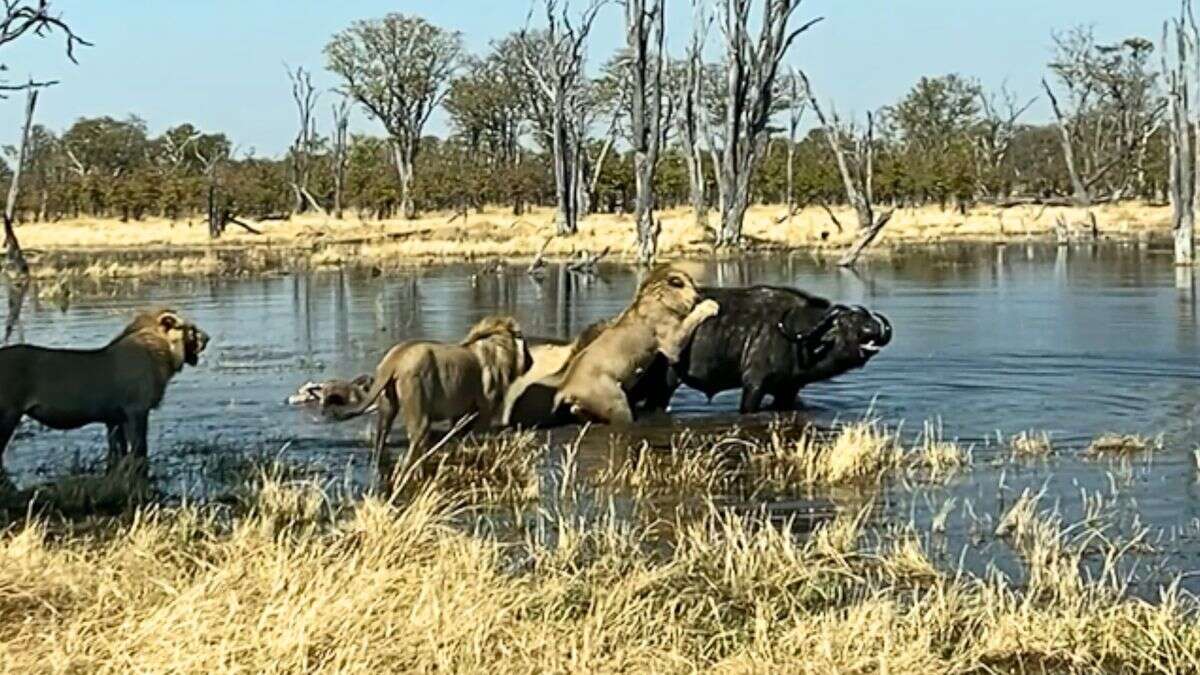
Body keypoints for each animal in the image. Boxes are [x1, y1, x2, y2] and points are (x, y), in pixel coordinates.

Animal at [0, 307, 211, 475]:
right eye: (191, 329)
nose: (208, 338)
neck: (160, 353)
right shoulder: (136, 411)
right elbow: (140, 449)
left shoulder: (114, 419)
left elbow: (117, 453)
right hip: (8, 414)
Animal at [328, 317, 535, 468]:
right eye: (524, 343)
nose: (532, 362)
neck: (497, 347)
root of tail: (394, 358)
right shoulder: (485, 410)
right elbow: (481, 437)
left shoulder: (459, 413)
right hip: (419, 409)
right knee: (414, 446)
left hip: (387, 408)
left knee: (381, 438)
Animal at [549, 265, 715, 422]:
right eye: (692, 282)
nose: (700, 291)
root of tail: (565, 390)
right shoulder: (672, 342)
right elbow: (691, 319)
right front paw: (709, 306)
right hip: (617, 404)